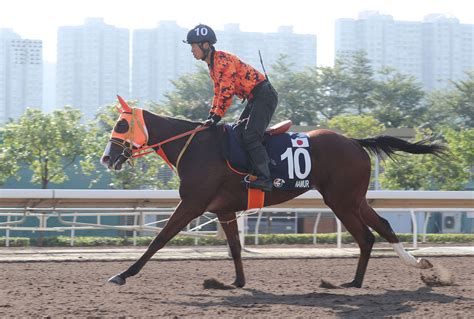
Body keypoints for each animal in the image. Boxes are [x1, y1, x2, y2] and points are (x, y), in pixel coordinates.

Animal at [102, 96, 446, 288]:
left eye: (121, 125)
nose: (107, 158)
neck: (195, 146)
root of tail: (354, 141)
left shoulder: (192, 203)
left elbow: (159, 240)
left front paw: (123, 274)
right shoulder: (224, 210)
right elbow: (235, 248)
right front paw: (234, 282)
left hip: (341, 200)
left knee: (366, 237)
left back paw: (356, 282)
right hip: (354, 199)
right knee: (381, 228)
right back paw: (418, 266)